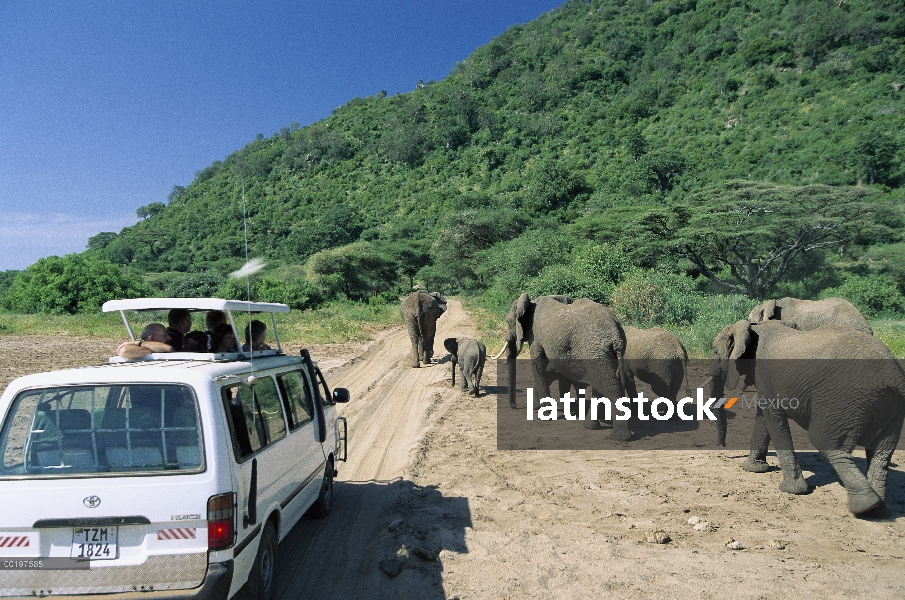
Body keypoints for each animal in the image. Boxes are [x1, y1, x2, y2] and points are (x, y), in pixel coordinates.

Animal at [502, 292, 636, 438]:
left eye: (508, 322)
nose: (514, 407)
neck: (530, 303)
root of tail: (617, 336)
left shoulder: (536, 338)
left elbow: (538, 367)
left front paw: (546, 416)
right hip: (601, 355)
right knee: (601, 383)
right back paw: (590, 427)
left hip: (594, 351)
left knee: (609, 386)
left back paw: (620, 437)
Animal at [708, 318, 900, 516]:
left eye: (715, 351)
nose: (721, 445)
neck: (754, 326)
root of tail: (892, 376)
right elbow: (763, 418)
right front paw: (753, 469)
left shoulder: (763, 373)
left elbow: (773, 419)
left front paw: (791, 489)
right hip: (889, 406)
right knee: (882, 452)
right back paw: (877, 509)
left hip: (845, 400)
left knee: (824, 440)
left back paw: (864, 505)